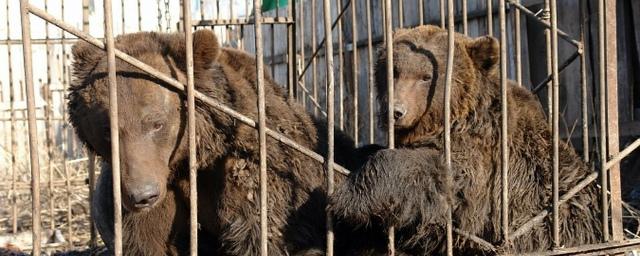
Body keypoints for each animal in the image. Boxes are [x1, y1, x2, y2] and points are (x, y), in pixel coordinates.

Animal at [328, 25, 604, 254]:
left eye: (426, 76)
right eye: (393, 72)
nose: (395, 111)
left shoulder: (487, 160)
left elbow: (444, 177)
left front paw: (348, 198)